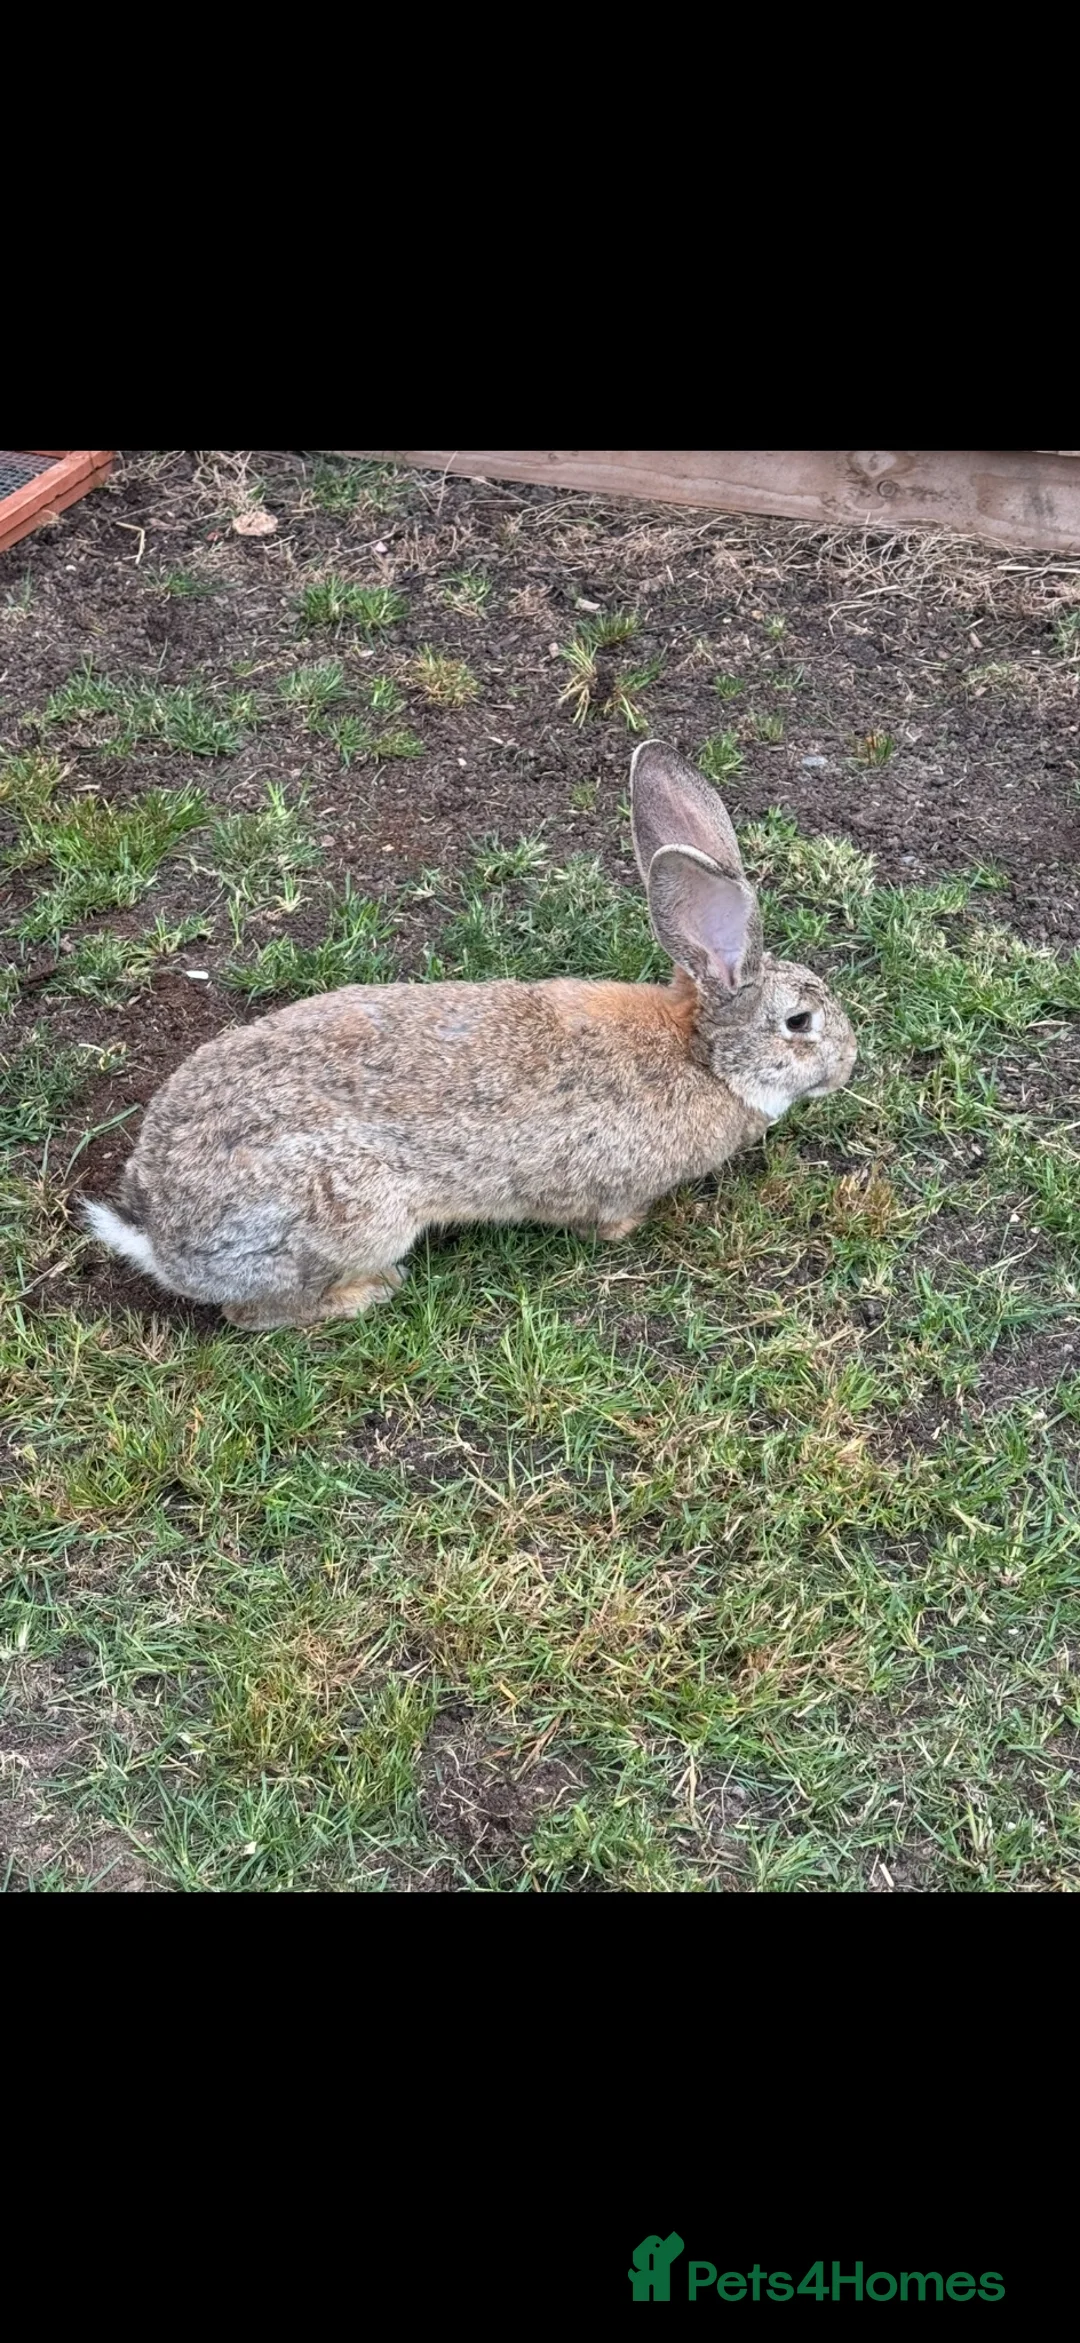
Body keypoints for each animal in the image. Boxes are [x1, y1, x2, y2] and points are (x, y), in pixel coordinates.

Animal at [81, 741, 857, 1329]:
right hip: (353, 1216)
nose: (849, 1063)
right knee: (258, 1314)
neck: (702, 1056)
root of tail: (159, 1235)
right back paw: (371, 1292)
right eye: (800, 1023)